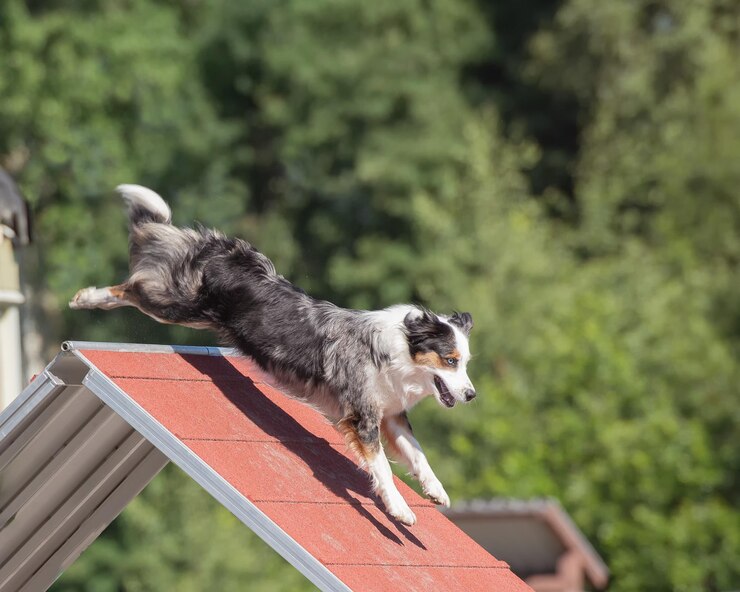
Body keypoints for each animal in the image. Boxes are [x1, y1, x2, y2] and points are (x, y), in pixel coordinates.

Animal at [69, 184, 474, 524]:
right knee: (132, 287)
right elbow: (384, 468)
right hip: (177, 305)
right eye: (450, 360)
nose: (471, 394)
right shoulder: (362, 417)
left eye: (466, 363)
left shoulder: (391, 415)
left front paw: (436, 491)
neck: (398, 351)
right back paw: (86, 297)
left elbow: (419, 454)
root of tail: (224, 249)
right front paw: (400, 510)